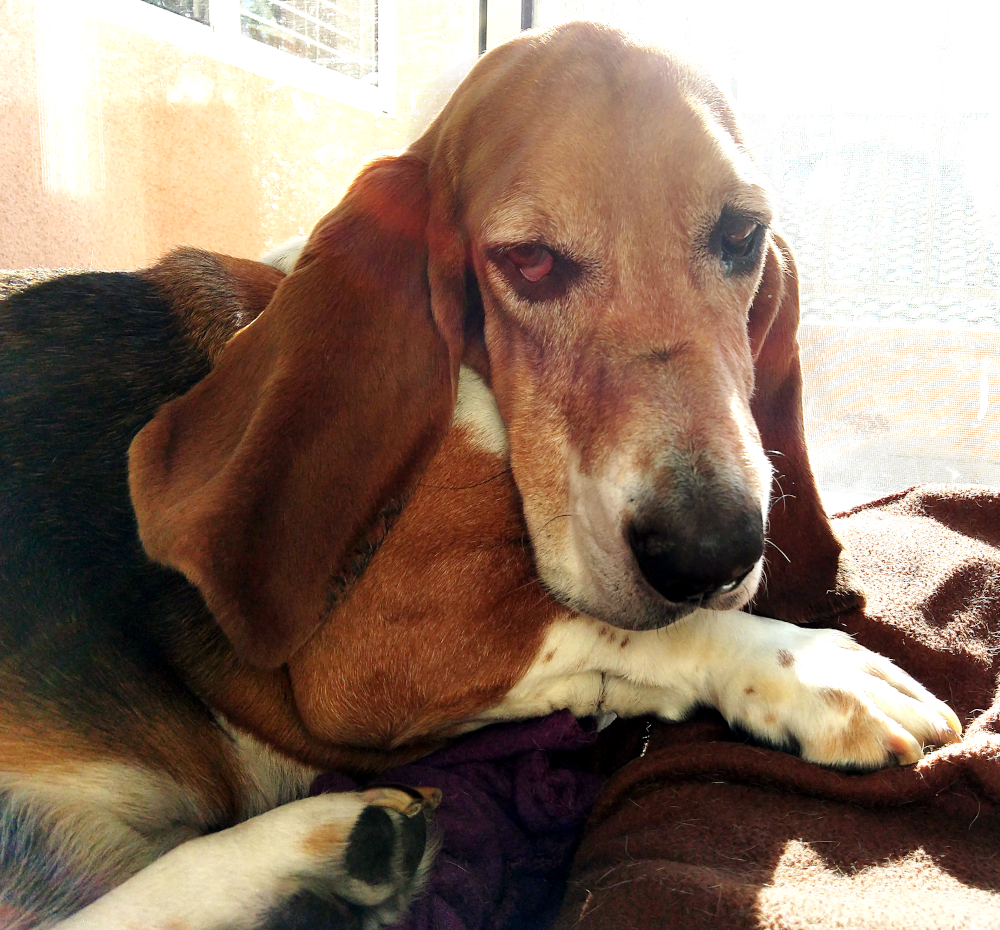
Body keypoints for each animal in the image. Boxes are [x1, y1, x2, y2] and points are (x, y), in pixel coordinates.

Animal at [0, 22, 961, 930]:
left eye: (742, 234)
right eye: (527, 261)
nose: (709, 553)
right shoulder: (366, 657)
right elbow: (621, 626)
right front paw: (813, 670)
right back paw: (329, 839)